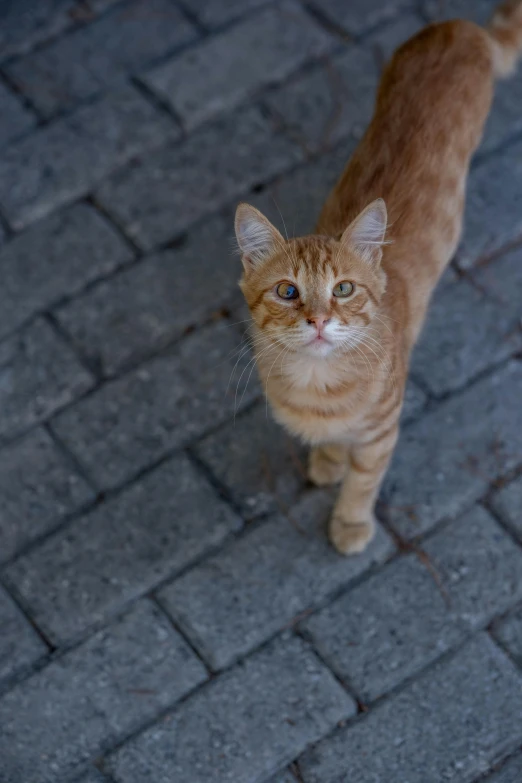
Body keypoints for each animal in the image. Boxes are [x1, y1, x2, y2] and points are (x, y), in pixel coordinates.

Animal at [234, 0, 520, 556]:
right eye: (287, 291)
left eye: (344, 289)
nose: (319, 320)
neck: (316, 386)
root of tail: (459, 27)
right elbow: (334, 447)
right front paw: (327, 459)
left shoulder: (383, 431)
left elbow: (363, 481)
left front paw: (349, 523)